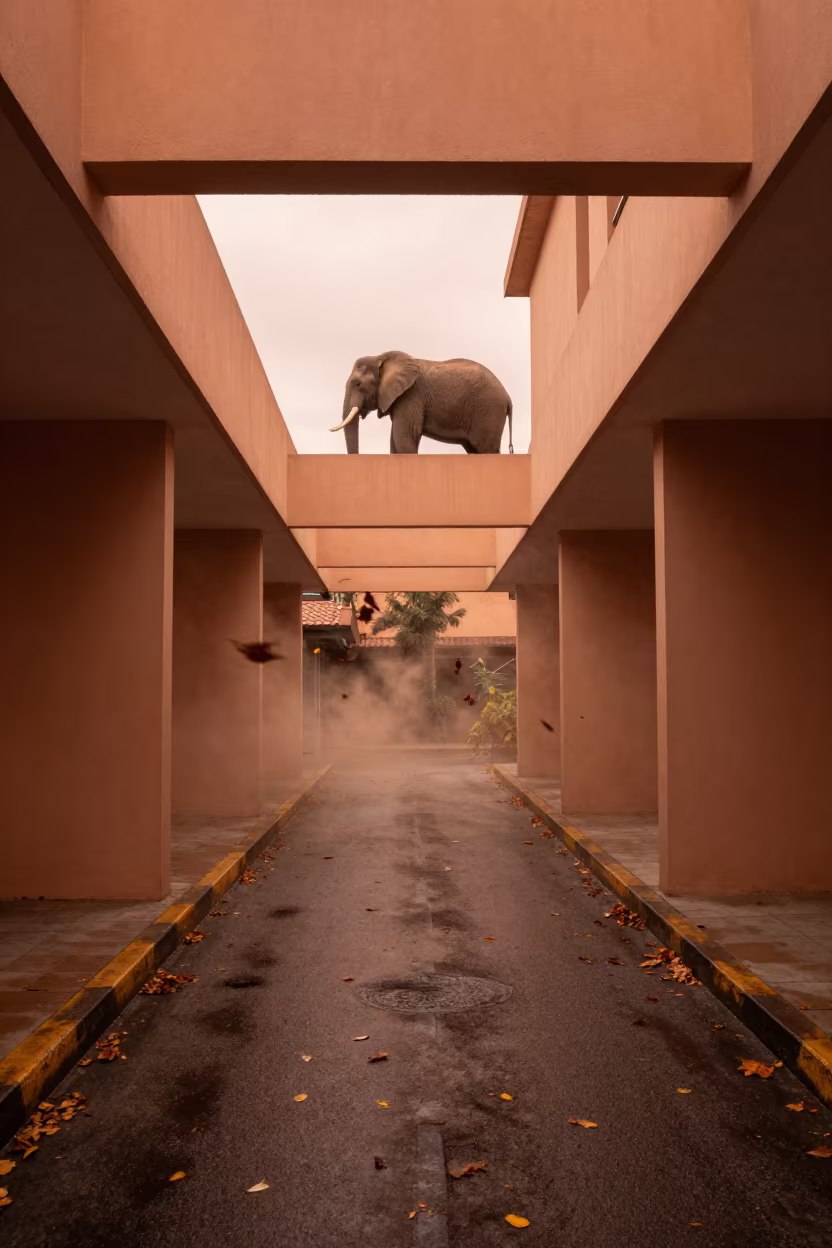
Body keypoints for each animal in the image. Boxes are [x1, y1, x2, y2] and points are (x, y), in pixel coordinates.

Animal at [330, 351, 513, 454]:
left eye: (358, 384)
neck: (380, 357)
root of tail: (508, 397)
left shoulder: (411, 396)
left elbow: (404, 439)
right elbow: (395, 443)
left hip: (488, 411)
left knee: (485, 448)